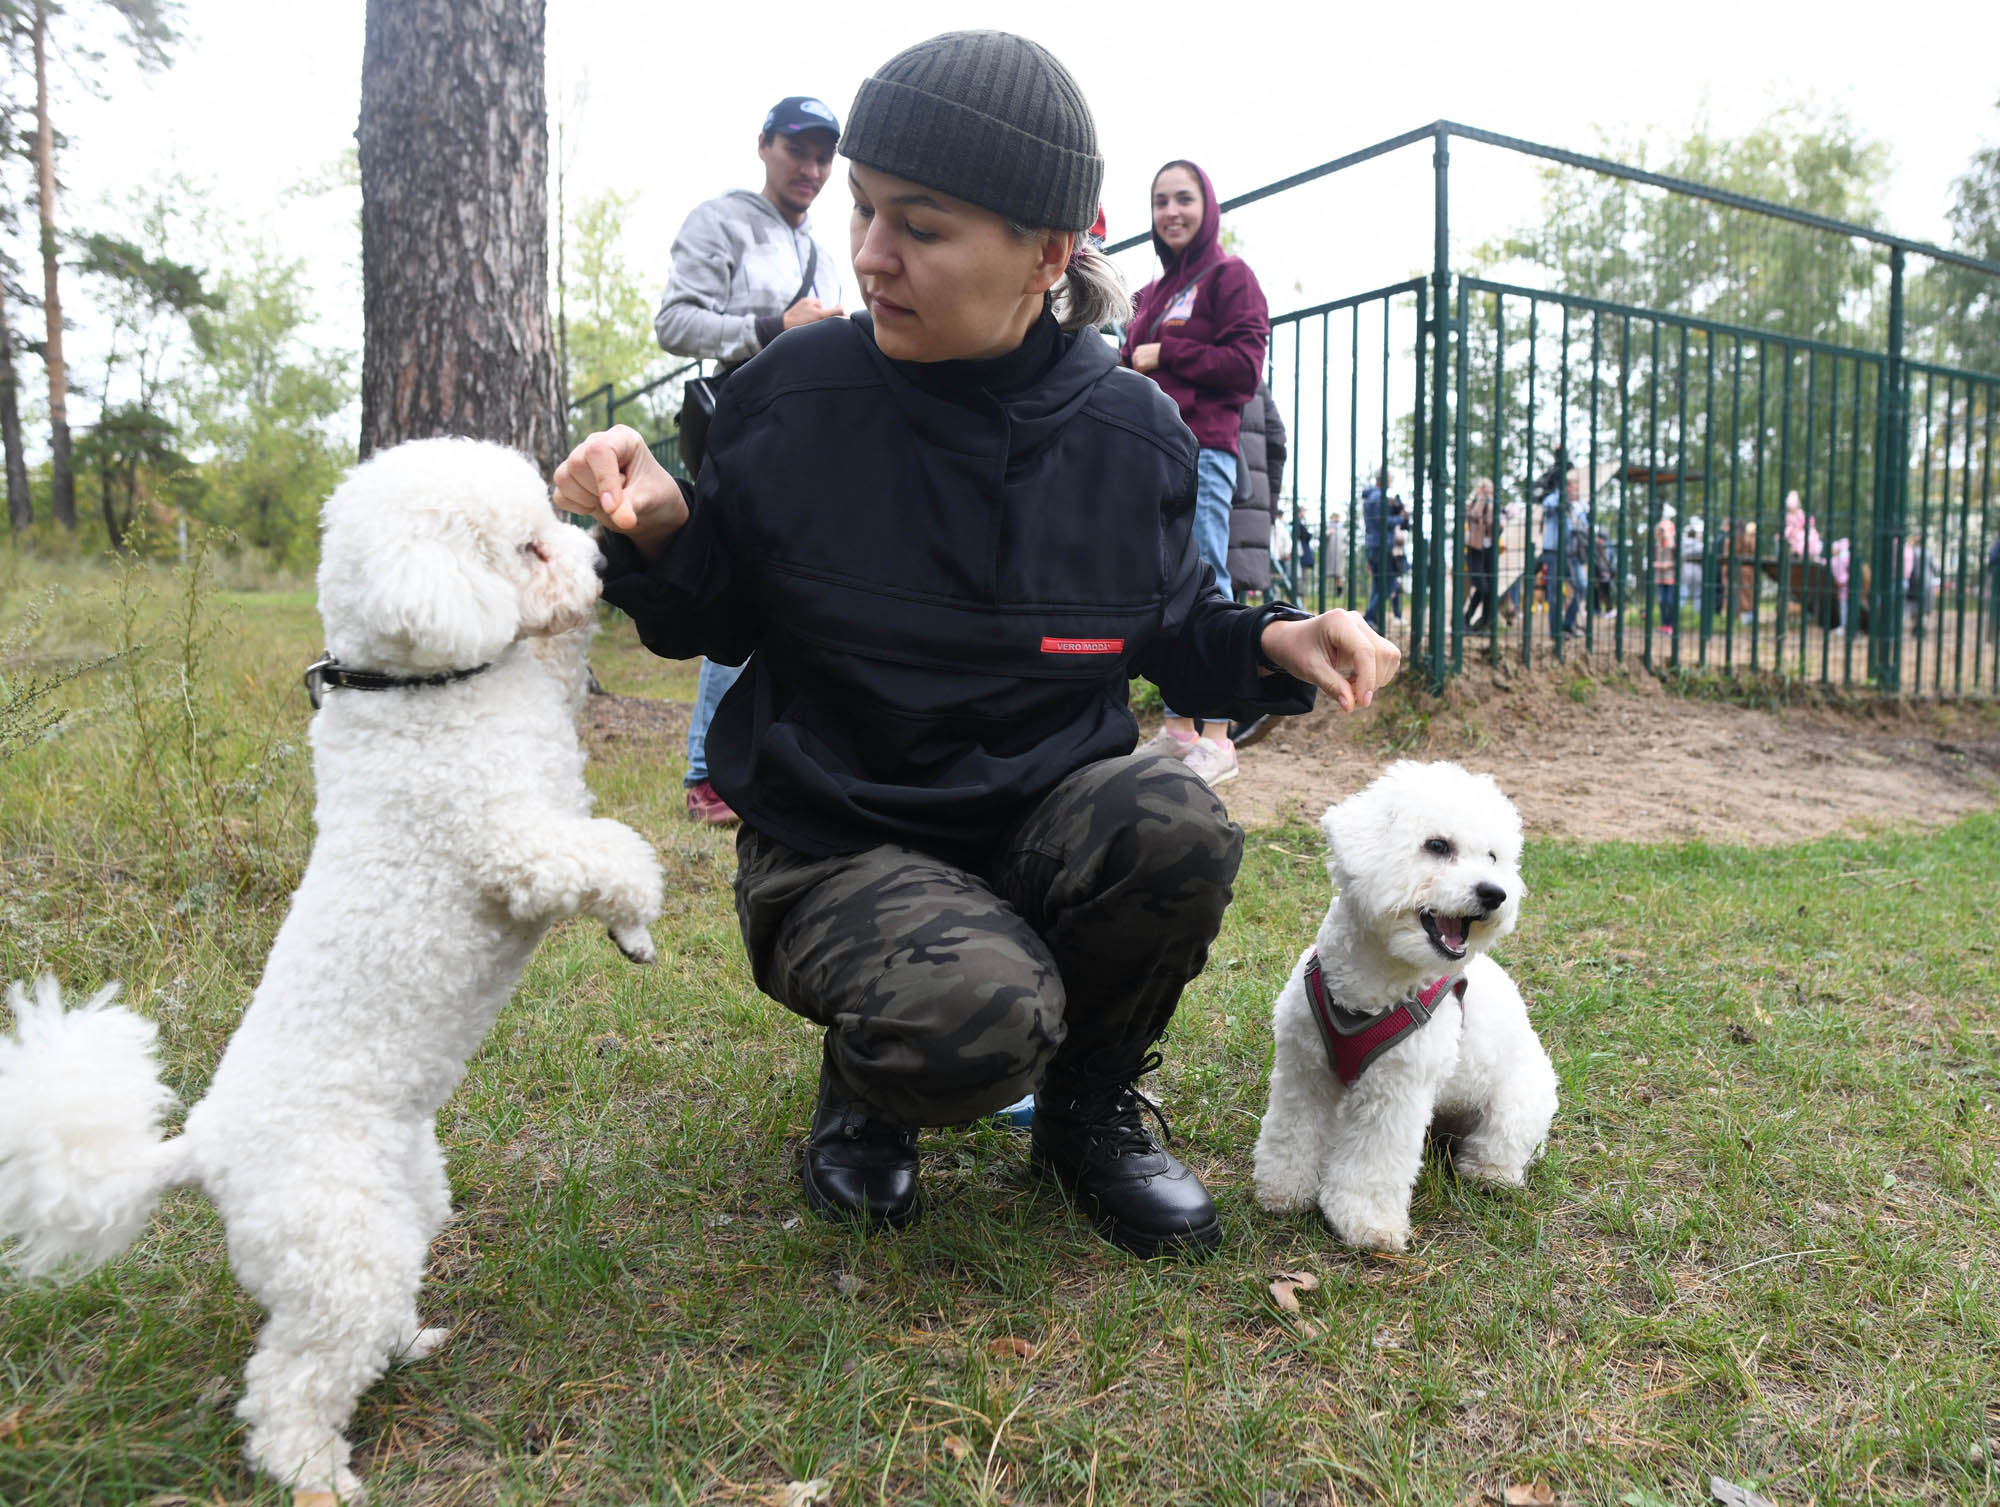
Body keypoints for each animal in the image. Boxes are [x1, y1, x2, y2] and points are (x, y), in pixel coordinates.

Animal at [0, 433, 668, 1495]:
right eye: (529, 547)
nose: (600, 554)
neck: (423, 689)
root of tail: (200, 1148)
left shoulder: (543, 717)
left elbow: (561, 670)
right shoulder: (520, 846)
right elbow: (616, 856)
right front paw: (636, 928)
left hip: (403, 1204)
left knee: (366, 1319)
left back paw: (408, 1345)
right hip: (338, 1249)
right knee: (291, 1384)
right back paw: (318, 1472)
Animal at [1248, 755, 1560, 1247]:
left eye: (1493, 857)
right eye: (1437, 845)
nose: (1495, 893)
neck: (1371, 988)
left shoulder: (1396, 1092)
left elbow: (1373, 1164)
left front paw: (1367, 1224)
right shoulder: (1304, 1071)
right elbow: (1291, 1133)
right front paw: (1285, 1190)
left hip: (1517, 1104)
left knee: (1503, 1145)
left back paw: (1489, 1174)